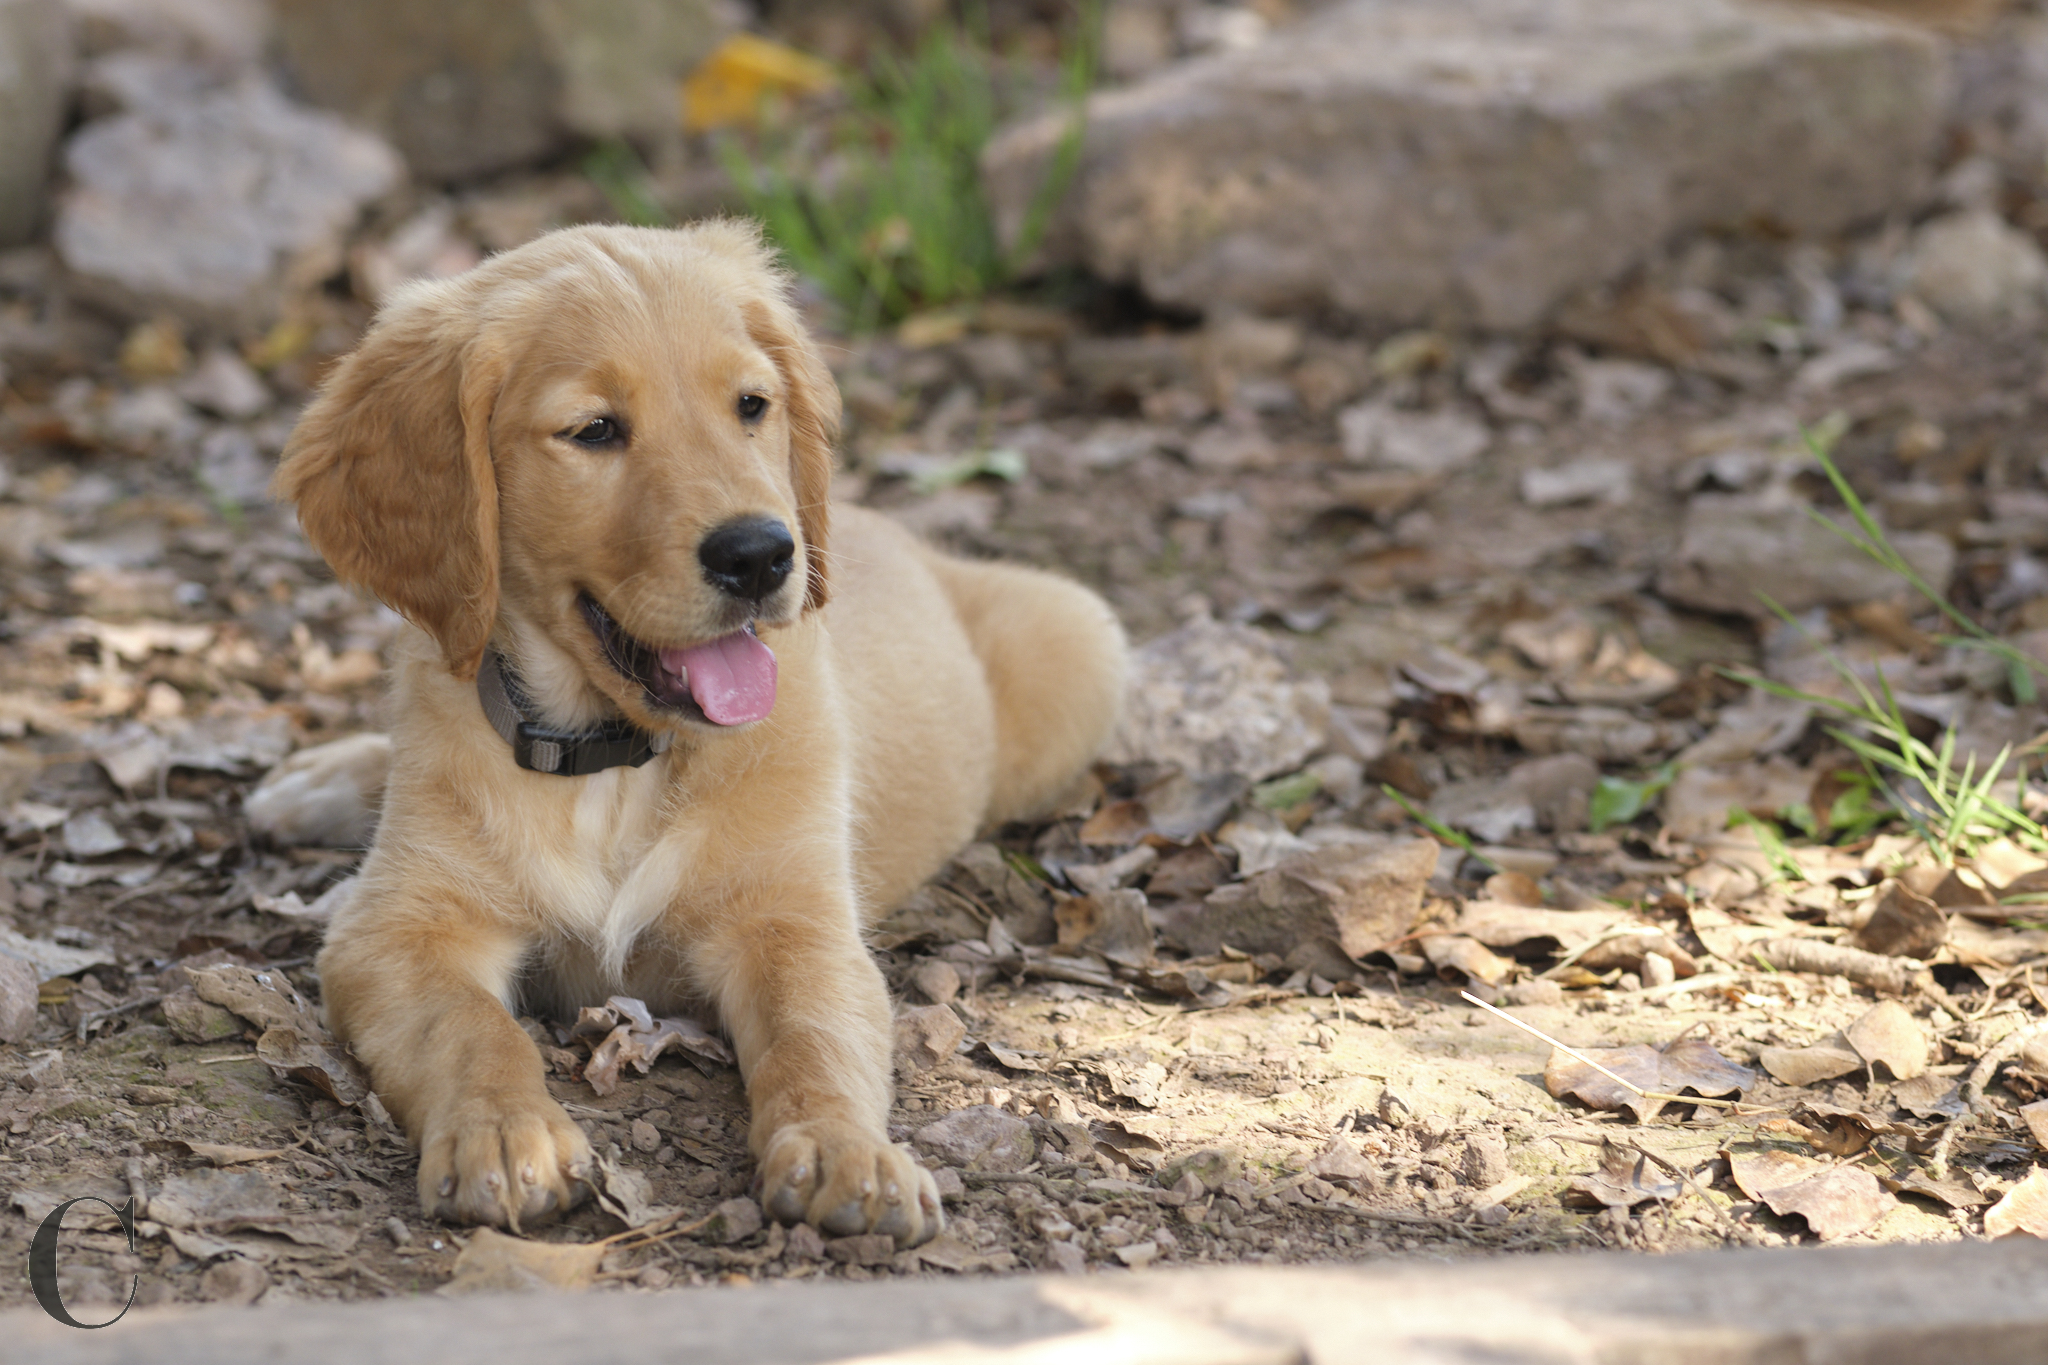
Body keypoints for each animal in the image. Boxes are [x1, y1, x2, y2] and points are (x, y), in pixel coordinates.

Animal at [276, 224, 1122, 1252]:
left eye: (750, 405)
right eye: (595, 430)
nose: (760, 554)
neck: (616, 759)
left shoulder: (793, 920)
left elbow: (814, 1035)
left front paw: (846, 1152)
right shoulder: (396, 927)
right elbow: (470, 1027)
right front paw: (506, 1136)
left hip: (1083, 641)